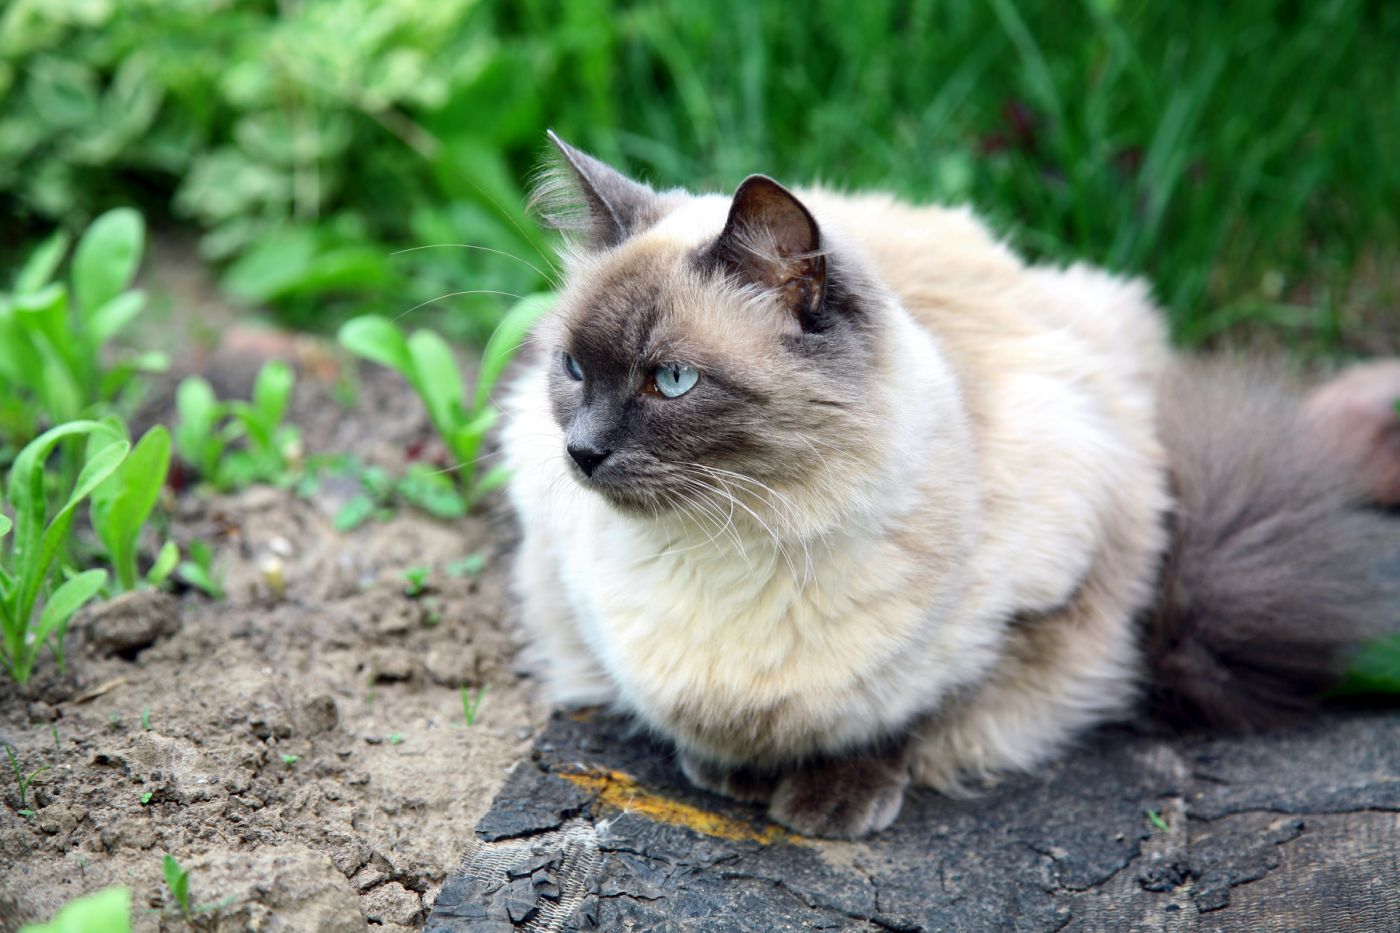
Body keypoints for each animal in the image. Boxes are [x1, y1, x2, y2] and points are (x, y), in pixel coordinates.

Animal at [498, 128, 1394, 834]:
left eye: (672, 381)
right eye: (574, 369)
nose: (580, 451)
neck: (741, 535)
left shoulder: (1035, 601)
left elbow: (908, 707)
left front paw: (830, 796)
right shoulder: (572, 585)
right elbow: (687, 714)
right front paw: (728, 770)